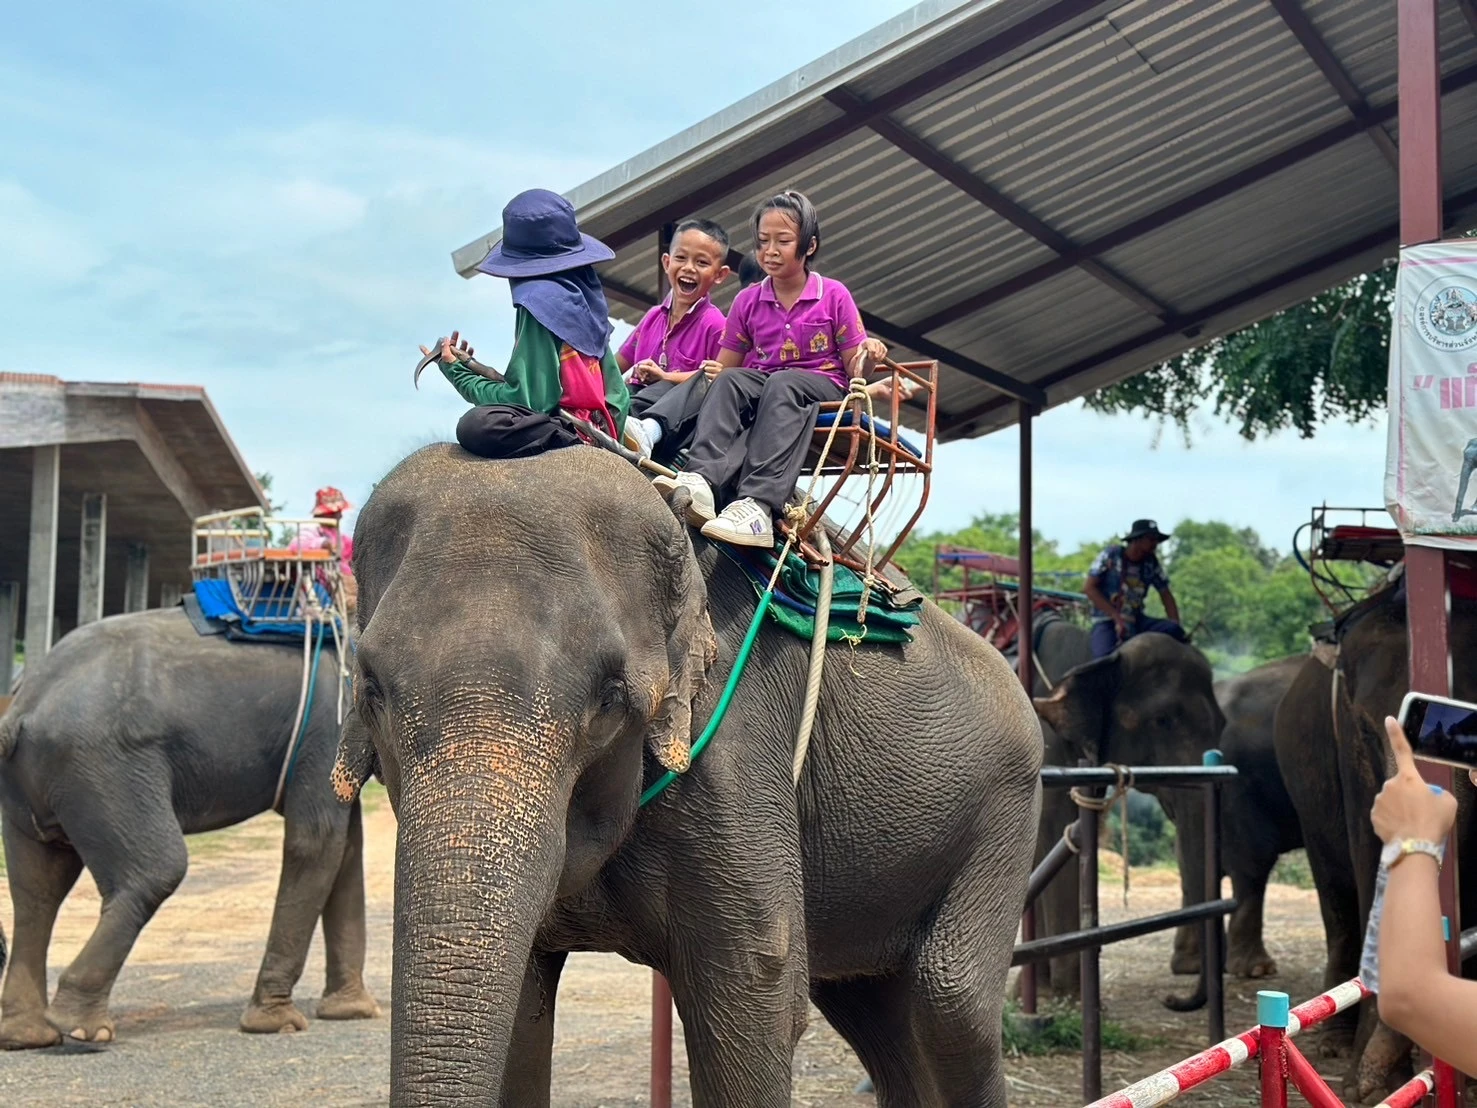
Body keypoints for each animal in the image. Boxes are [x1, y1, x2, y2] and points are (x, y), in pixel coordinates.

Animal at [0, 608, 381, 1051]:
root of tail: (23, 705)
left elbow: (347, 847)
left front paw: (352, 1011)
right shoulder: (323, 728)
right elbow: (317, 841)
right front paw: (277, 1023)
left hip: (43, 782)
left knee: (37, 891)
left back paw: (28, 1036)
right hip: (102, 769)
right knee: (156, 870)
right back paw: (81, 1028)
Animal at [329, 443, 1045, 1108]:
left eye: (609, 698)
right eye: (371, 689)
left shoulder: (735, 746)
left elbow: (757, 982)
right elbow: (520, 1015)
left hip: (1007, 810)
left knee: (948, 1003)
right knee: (874, 1008)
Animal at [1027, 620, 1222, 1004]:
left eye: (1222, 723)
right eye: (1162, 720)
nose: (1172, 999)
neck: (1100, 657)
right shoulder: (1045, 745)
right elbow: (1052, 827)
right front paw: (1070, 995)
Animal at [1270, 590, 1477, 1105]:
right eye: (1364, 728)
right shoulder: (1349, 762)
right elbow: (1367, 864)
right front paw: (1371, 1084)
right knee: (1338, 902)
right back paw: (1335, 1045)